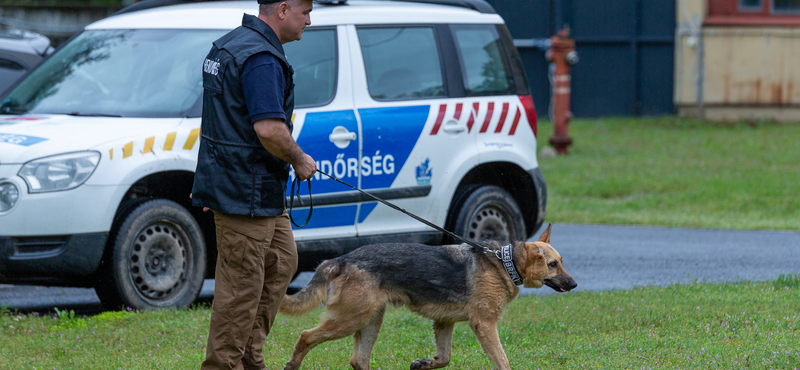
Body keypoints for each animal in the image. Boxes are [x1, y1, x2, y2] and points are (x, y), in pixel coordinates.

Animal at [280, 223, 576, 370]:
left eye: (561, 262)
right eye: (552, 265)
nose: (574, 284)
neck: (504, 263)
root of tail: (342, 259)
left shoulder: (444, 323)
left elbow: (444, 359)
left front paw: (422, 363)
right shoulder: (484, 325)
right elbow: (502, 362)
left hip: (370, 320)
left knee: (358, 360)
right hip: (350, 319)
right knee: (306, 336)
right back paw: (292, 364)